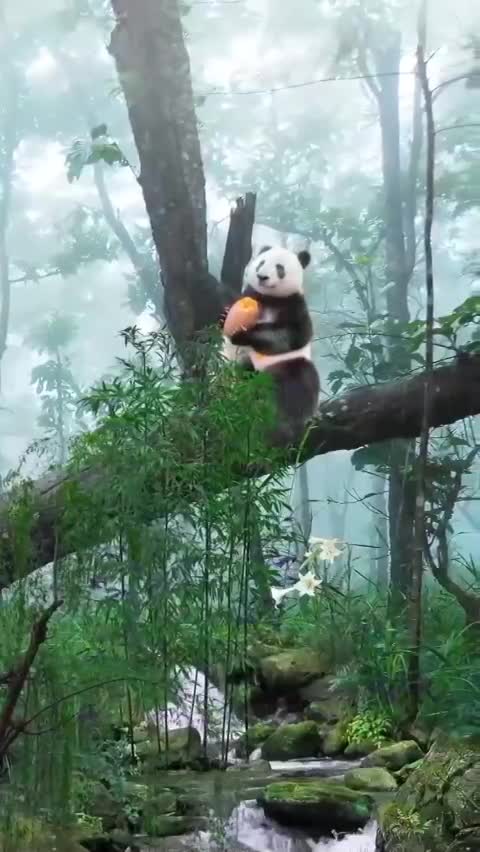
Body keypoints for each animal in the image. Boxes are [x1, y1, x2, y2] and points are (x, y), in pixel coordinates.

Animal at [220, 245, 320, 447]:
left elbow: (290, 335)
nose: (262, 277)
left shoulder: (294, 306)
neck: (269, 298)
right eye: (261, 262)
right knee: (244, 371)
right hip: (240, 368)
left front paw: (243, 334)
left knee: (298, 382)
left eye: (279, 268)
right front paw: (225, 317)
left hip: (286, 369)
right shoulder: (250, 295)